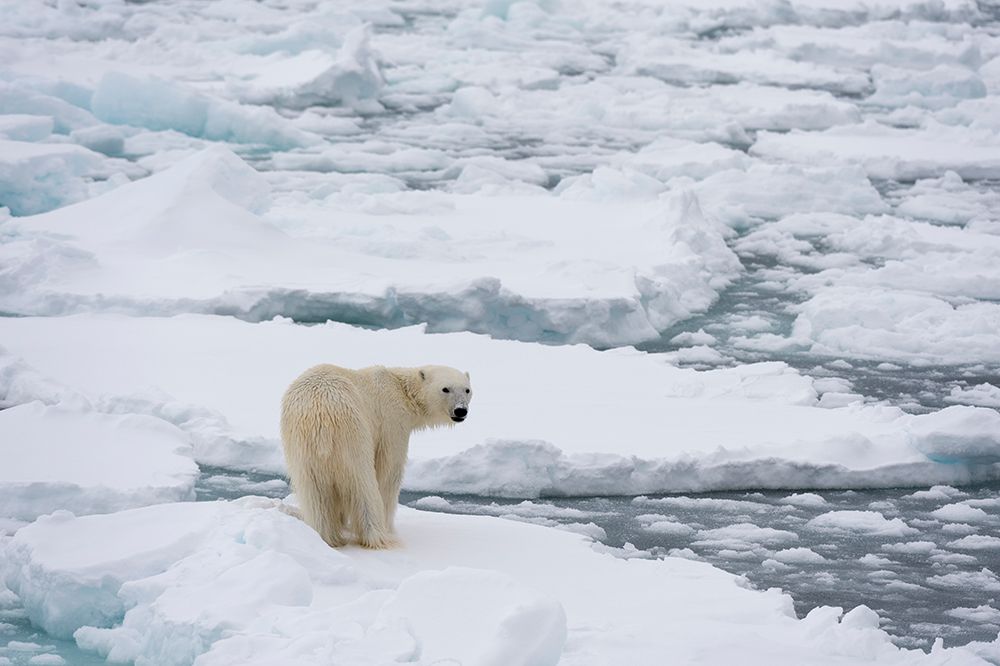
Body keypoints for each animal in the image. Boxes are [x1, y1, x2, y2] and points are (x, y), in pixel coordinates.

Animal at [280, 364, 472, 549]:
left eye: (467, 390)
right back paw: (378, 536)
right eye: (445, 389)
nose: (461, 411)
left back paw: (327, 536)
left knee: (315, 494)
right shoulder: (392, 422)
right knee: (363, 483)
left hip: (302, 450)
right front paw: (389, 527)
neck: (401, 389)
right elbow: (389, 472)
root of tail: (320, 417)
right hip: (353, 434)